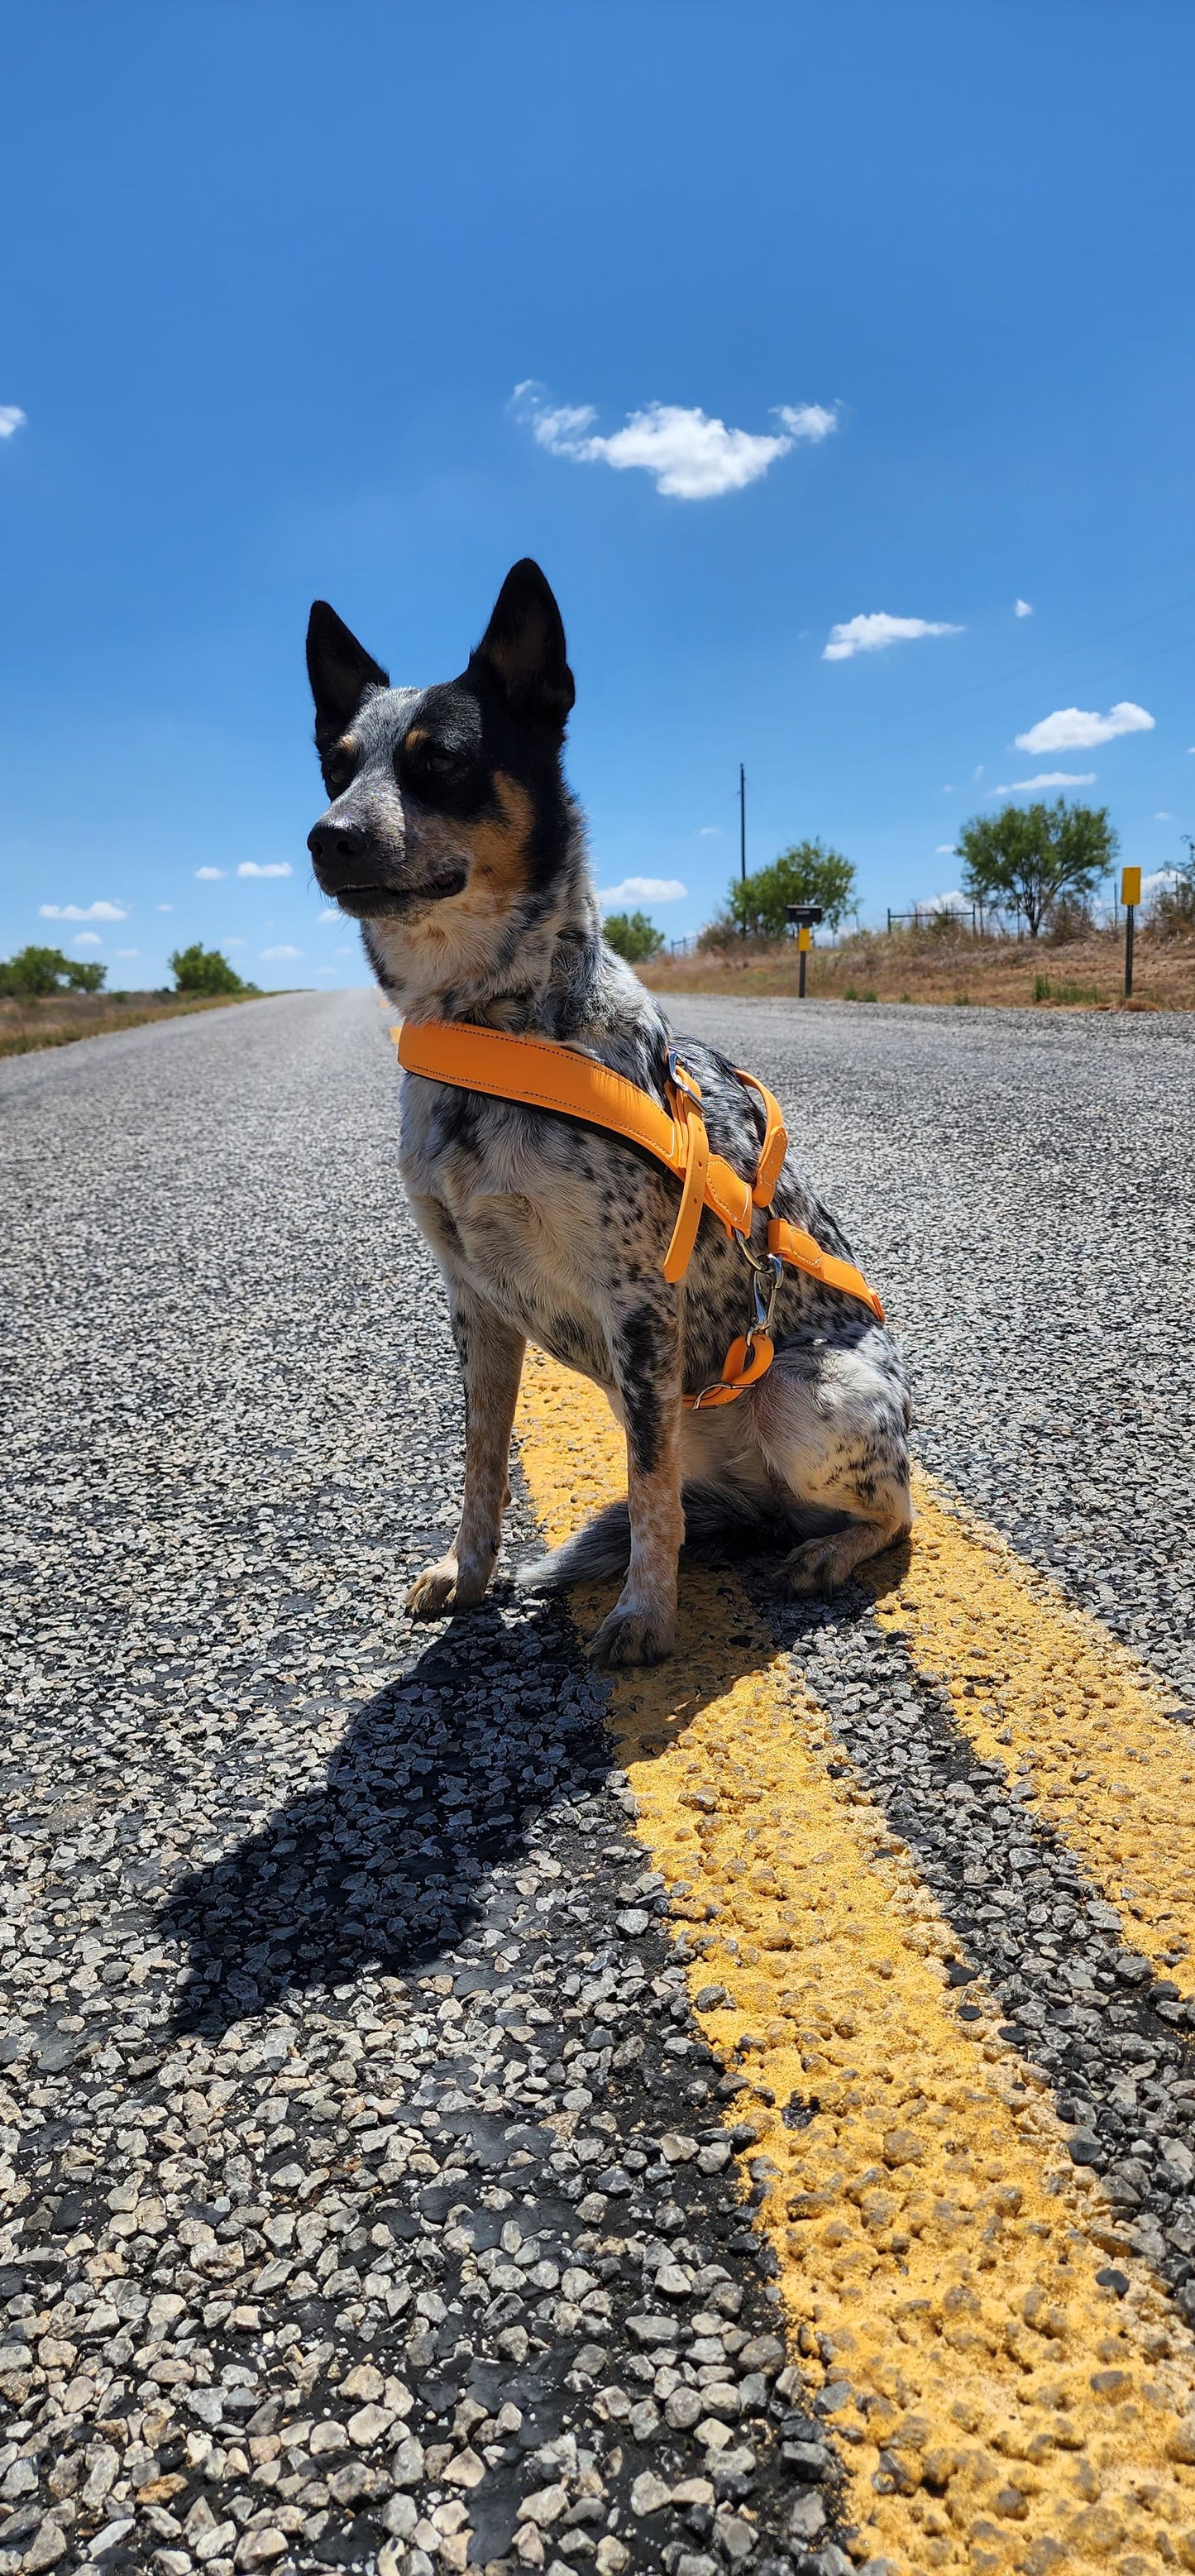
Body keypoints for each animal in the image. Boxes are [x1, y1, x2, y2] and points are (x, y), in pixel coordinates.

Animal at [304, 558, 911, 1669]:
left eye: (440, 761)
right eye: (336, 767)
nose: (328, 838)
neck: (490, 1031)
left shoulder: (639, 1302)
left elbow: (650, 1486)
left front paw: (644, 1614)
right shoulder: (474, 1302)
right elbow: (483, 1464)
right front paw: (467, 1573)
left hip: (801, 1397)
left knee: (892, 1510)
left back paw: (824, 1553)